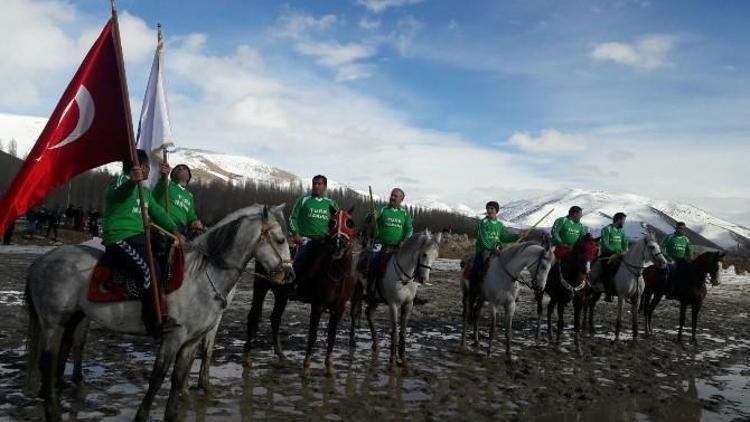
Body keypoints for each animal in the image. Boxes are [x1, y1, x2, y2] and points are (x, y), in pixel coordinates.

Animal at [24, 204, 294, 422]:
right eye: (281, 240)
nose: (290, 275)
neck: (201, 277)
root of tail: (41, 262)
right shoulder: (174, 335)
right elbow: (158, 376)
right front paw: (142, 415)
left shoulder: (192, 339)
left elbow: (178, 376)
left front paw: (174, 412)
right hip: (52, 322)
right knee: (48, 361)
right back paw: (53, 409)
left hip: (75, 317)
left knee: (68, 347)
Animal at [242, 206, 356, 374]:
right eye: (331, 222)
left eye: (350, 222)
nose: (338, 243)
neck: (336, 273)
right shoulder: (317, 306)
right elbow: (312, 335)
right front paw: (307, 365)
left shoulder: (339, 309)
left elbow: (332, 337)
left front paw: (329, 366)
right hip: (261, 287)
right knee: (253, 317)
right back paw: (247, 357)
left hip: (281, 295)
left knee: (275, 319)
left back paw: (281, 354)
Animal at [352, 231, 440, 370]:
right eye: (424, 254)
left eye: (435, 256)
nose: (423, 278)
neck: (404, 277)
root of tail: (356, 257)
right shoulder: (393, 305)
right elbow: (394, 332)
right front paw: (393, 360)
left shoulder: (408, 305)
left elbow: (403, 332)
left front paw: (403, 359)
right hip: (355, 294)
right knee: (353, 314)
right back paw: (353, 340)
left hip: (375, 299)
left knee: (368, 313)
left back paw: (375, 342)